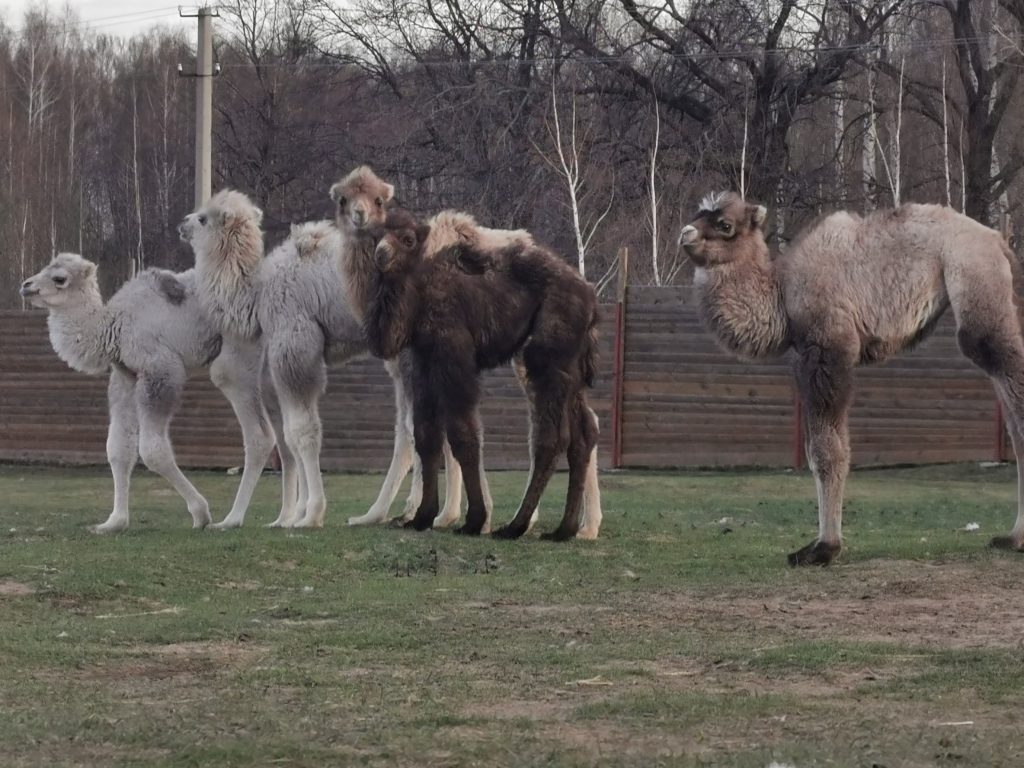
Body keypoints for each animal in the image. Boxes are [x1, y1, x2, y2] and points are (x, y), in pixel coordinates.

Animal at [19, 252, 276, 536]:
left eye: (60, 278)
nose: (26, 286)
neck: (114, 325)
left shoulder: (160, 370)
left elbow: (153, 451)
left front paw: (200, 514)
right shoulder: (125, 375)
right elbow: (118, 449)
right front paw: (113, 522)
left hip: (239, 354)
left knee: (260, 435)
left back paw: (232, 519)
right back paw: (287, 517)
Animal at [178, 185, 462, 528]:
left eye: (203, 218)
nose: (182, 223)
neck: (258, 291)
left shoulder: (296, 342)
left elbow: (303, 431)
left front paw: (311, 514)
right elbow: (290, 434)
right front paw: (295, 515)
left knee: (417, 425)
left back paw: (422, 512)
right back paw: (412, 514)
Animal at [360, 207, 602, 536]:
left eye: (408, 240)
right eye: (376, 238)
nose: (382, 255)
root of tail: (590, 298)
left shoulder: (453, 354)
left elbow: (463, 434)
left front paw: (474, 520)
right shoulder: (422, 361)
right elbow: (426, 436)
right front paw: (422, 517)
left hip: (546, 356)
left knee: (551, 437)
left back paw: (516, 526)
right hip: (571, 367)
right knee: (583, 434)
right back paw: (563, 530)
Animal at [675, 191, 1024, 565]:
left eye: (725, 225)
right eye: (698, 213)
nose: (685, 233)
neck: (781, 292)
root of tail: (998, 242)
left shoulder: (829, 347)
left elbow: (826, 450)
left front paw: (824, 548)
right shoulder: (805, 355)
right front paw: (816, 544)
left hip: (973, 276)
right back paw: (1012, 537)